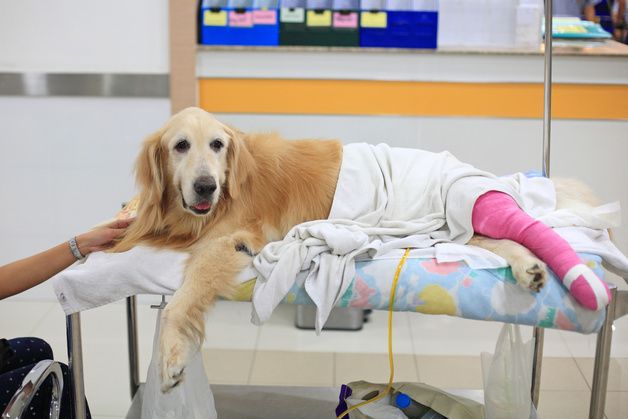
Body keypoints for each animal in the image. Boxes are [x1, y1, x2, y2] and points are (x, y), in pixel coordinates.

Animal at [114, 106, 600, 392]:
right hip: (453, 229)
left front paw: (172, 357)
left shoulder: (232, 239)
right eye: (180, 146)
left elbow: (181, 301)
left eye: (217, 144)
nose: (206, 186)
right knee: (503, 238)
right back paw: (530, 268)